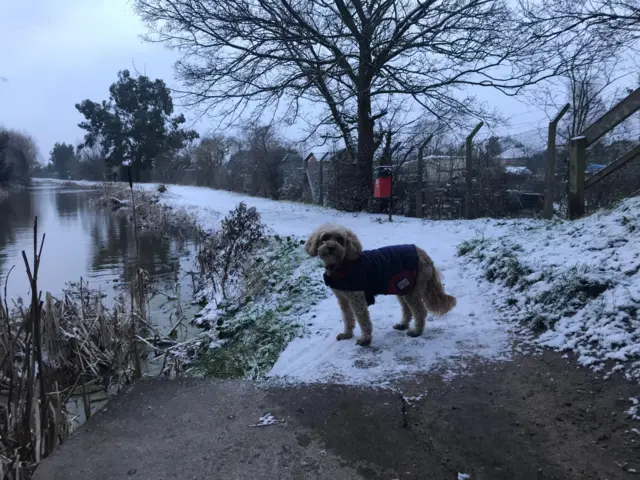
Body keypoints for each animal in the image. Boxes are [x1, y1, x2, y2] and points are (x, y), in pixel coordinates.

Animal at [304, 223, 456, 346]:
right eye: (324, 238)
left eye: (340, 239)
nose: (331, 247)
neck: (342, 265)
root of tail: (424, 254)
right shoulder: (343, 299)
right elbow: (347, 318)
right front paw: (347, 334)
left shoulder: (356, 297)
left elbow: (362, 319)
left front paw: (365, 339)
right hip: (401, 288)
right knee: (407, 309)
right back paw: (403, 324)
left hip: (411, 290)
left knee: (420, 311)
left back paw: (416, 331)